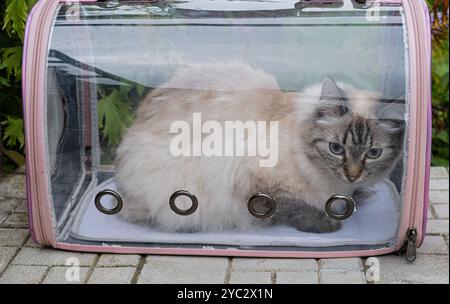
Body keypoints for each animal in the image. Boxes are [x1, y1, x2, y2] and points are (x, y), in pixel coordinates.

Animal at [113, 61, 404, 233]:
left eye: (373, 153)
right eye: (336, 148)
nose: (352, 175)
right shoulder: (255, 182)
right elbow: (290, 207)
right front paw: (327, 222)